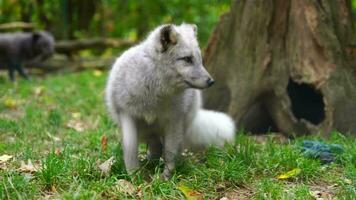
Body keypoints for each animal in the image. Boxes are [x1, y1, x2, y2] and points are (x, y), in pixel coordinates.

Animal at [105, 23, 234, 180]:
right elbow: (130, 150)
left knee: (166, 148)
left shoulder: (174, 120)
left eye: (200, 59)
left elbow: (170, 153)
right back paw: (149, 164)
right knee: (155, 147)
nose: (211, 81)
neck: (154, 91)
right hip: (144, 130)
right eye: (187, 59)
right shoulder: (127, 115)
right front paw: (134, 176)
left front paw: (165, 177)